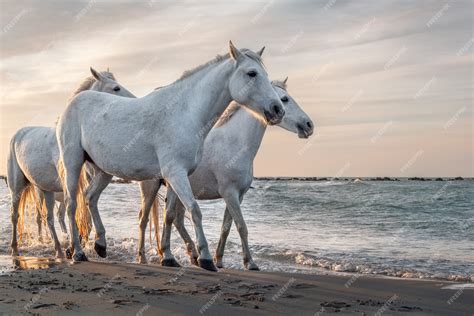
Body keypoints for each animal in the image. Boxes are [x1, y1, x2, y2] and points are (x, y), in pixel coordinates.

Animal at [6, 68, 134, 258]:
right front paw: (77, 248)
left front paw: (80, 246)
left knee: (49, 219)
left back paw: (58, 250)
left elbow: (84, 215)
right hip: (18, 187)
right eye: (116, 88)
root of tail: (18, 134)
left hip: (46, 190)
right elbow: (77, 212)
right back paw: (15, 249)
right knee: (16, 215)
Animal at [55, 40, 286, 270]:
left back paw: (100, 245)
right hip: (73, 163)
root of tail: (72, 103)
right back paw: (77, 252)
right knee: (71, 204)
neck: (185, 113)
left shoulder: (176, 177)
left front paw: (168, 257)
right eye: (252, 73)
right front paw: (205, 258)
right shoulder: (176, 174)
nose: (278, 109)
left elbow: (169, 215)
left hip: (104, 171)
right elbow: (194, 210)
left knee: (90, 197)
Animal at [139, 77, 312, 270]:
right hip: (151, 187)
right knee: (144, 220)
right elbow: (241, 226)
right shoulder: (230, 194)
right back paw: (143, 257)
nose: (308, 125)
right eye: (284, 99)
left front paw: (219, 260)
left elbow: (226, 228)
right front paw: (250, 263)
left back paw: (190, 255)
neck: (235, 144)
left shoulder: (238, 196)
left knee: (175, 219)